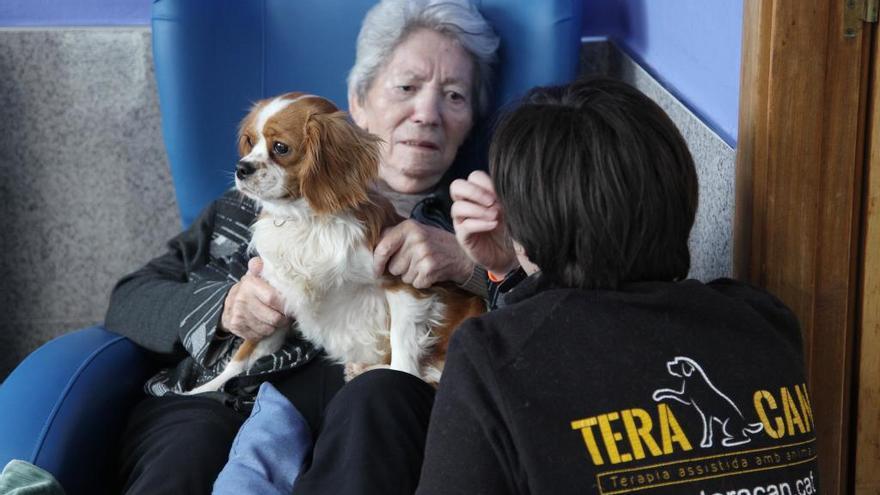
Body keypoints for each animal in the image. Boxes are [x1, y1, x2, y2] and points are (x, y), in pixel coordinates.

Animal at [186, 93, 484, 396]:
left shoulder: (404, 284)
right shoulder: (277, 300)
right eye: (249, 141)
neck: (307, 221)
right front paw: (204, 390)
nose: (241, 168)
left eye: (280, 147)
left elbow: (403, 360)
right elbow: (243, 355)